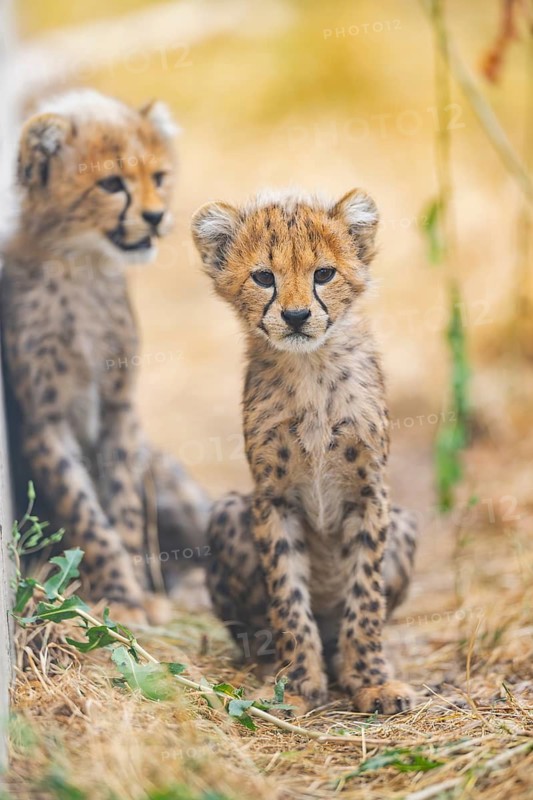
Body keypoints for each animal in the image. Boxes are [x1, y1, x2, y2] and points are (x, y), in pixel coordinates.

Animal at [1, 90, 209, 624]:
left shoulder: (120, 410)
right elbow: (87, 514)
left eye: (159, 177)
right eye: (112, 184)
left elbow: (125, 507)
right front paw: (121, 596)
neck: (82, 265)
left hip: (167, 477)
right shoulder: (45, 421)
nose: (156, 217)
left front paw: (139, 591)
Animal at [191, 188, 417, 714]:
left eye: (324, 274)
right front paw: (294, 684)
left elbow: (365, 597)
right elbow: (288, 597)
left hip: (404, 523)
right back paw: (267, 667)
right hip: (229, 512)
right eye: (263, 277)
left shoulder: (371, 494)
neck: (310, 367)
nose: (295, 316)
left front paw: (371, 680)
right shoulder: (273, 499)